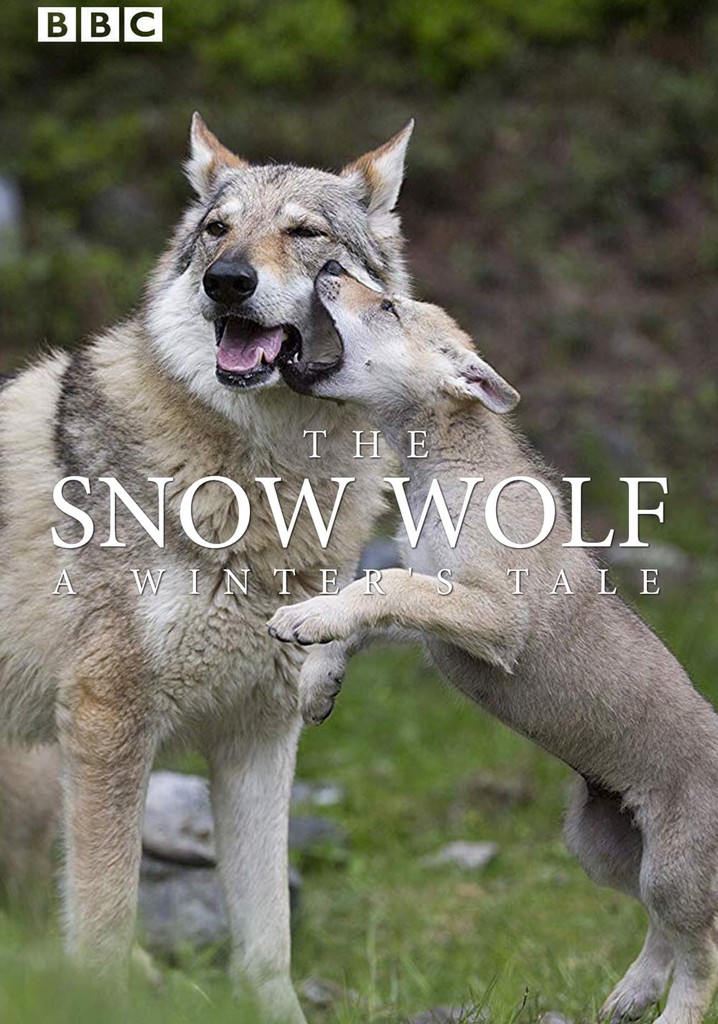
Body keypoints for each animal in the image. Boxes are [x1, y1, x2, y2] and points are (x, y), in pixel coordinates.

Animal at [0, 116, 413, 1021]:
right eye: (218, 230)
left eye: (305, 233)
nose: (227, 282)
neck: (269, 482)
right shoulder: (108, 721)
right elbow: (105, 927)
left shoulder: (259, 734)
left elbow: (266, 945)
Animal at [269, 262, 718, 1024]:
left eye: (387, 307)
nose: (328, 267)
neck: (443, 465)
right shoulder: (435, 611)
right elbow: (368, 604)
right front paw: (317, 681)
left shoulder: (492, 616)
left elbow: (377, 583)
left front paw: (305, 620)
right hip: (604, 848)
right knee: (664, 931)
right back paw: (629, 995)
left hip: (676, 867)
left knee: (700, 952)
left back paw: (671, 1013)